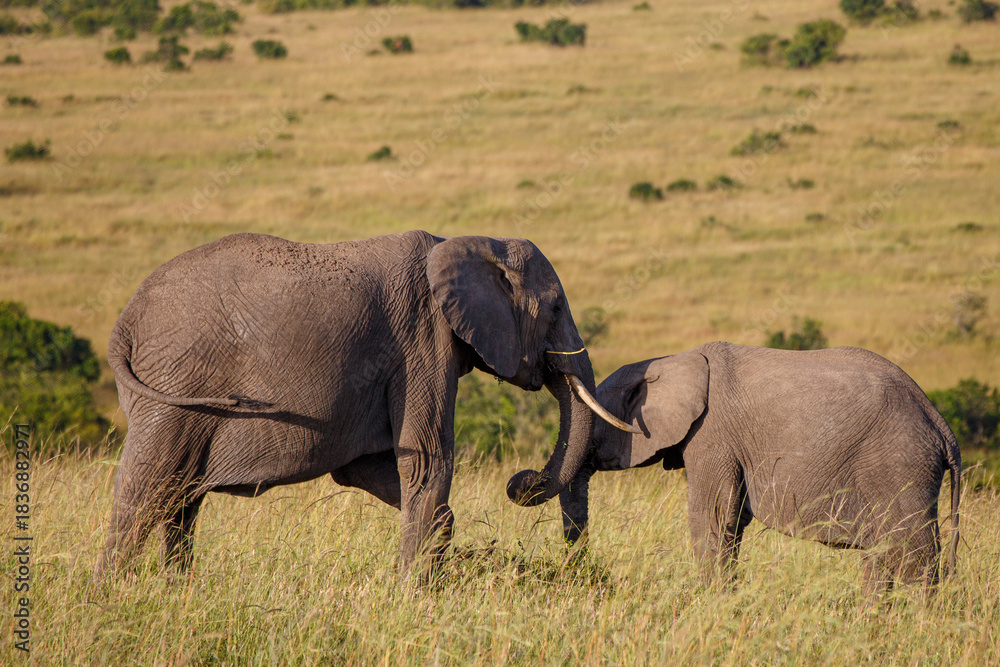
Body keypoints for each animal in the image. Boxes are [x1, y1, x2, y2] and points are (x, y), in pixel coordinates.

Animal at [96, 230, 637, 581]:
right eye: (556, 308)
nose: (519, 482)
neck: (470, 243)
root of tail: (125, 321)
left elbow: (365, 467)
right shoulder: (423, 340)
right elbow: (426, 459)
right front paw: (416, 594)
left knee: (180, 500)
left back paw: (175, 593)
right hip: (177, 382)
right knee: (145, 488)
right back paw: (112, 598)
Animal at [551, 342, 962, 594]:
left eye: (594, 422)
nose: (585, 572)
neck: (673, 360)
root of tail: (942, 427)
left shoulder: (712, 435)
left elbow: (712, 516)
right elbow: (731, 523)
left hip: (900, 465)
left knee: (912, 553)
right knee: (883, 552)